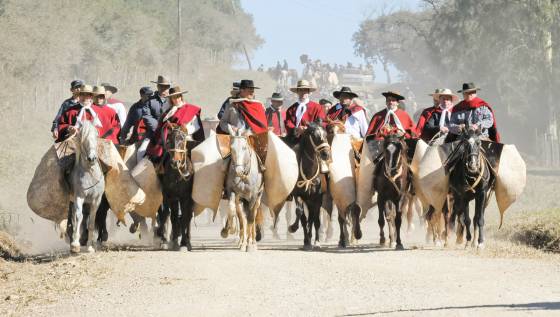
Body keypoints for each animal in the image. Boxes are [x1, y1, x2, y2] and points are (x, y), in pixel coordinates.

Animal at [68, 119, 105, 253]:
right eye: (82, 137)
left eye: (96, 135)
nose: (92, 158)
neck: (89, 173)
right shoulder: (79, 197)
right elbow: (79, 217)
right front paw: (75, 245)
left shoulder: (96, 200)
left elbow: (92, 221)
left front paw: (90, 246)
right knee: (74, 217)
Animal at [286, 121, 330, 249]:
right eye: (314, 136)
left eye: (325, 134)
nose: (326, 154)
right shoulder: (298, 195)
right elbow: (300, 213)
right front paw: (293, 228)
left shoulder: (317, 198)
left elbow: (315, 220)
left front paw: (317, 241)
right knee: (306, 218)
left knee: (312, 218)